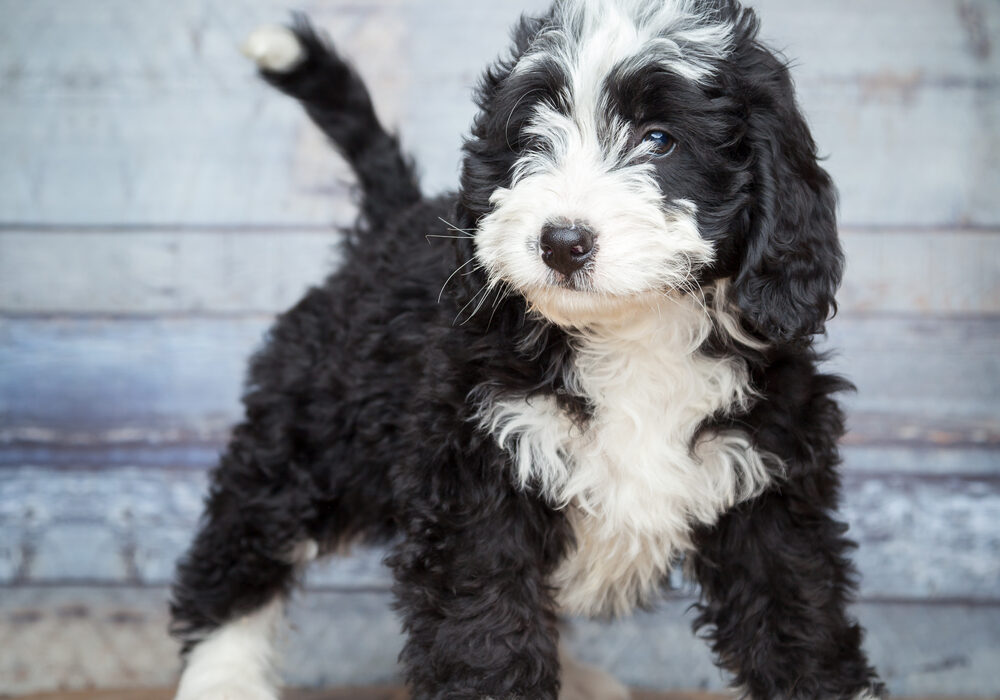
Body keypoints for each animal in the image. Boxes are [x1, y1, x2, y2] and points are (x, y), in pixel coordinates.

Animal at [170, 2, 884, 696]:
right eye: (532, 137)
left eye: (659, 139)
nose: (562, 241)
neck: (631, 333)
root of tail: (393, 219)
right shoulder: (477, 480)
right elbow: (484, 633)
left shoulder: (770, 482)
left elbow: (800, 619)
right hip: (317, 429)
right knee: (246, 536)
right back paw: (223, 677)